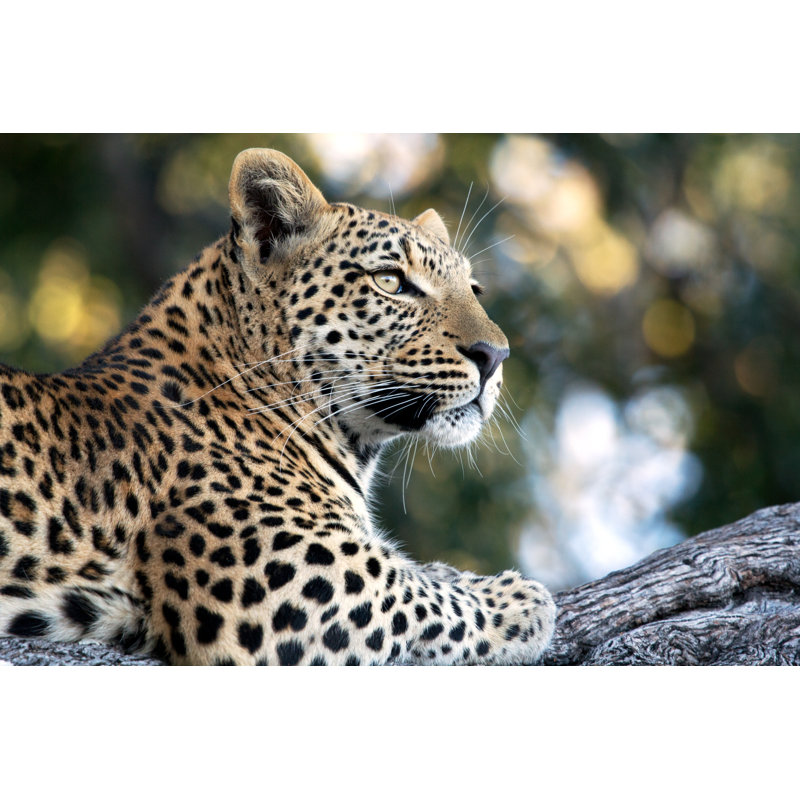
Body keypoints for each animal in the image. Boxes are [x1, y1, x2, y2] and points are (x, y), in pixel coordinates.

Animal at [0, 148, 555, 665]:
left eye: (474, 289)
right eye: (390, 282)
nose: (495, 356)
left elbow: (418, 569)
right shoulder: (283, 594)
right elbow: (416, 595)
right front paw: (518, 600)